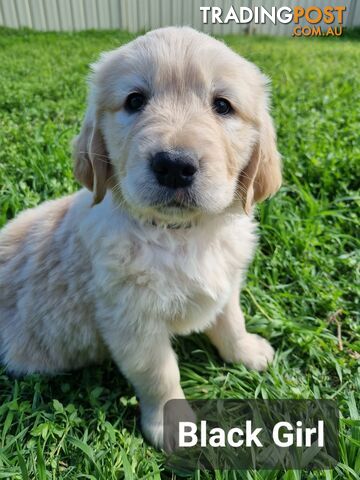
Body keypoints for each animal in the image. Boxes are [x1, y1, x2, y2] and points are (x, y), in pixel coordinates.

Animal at [0, 25, 282, 446]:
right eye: (135, 101)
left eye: (223, 106)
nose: (174, 166)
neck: (181, 234)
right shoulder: (132, 321)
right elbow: (160, 374)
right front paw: (173, 425)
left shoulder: (227, 281)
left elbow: (232, 319)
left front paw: (246, 351)